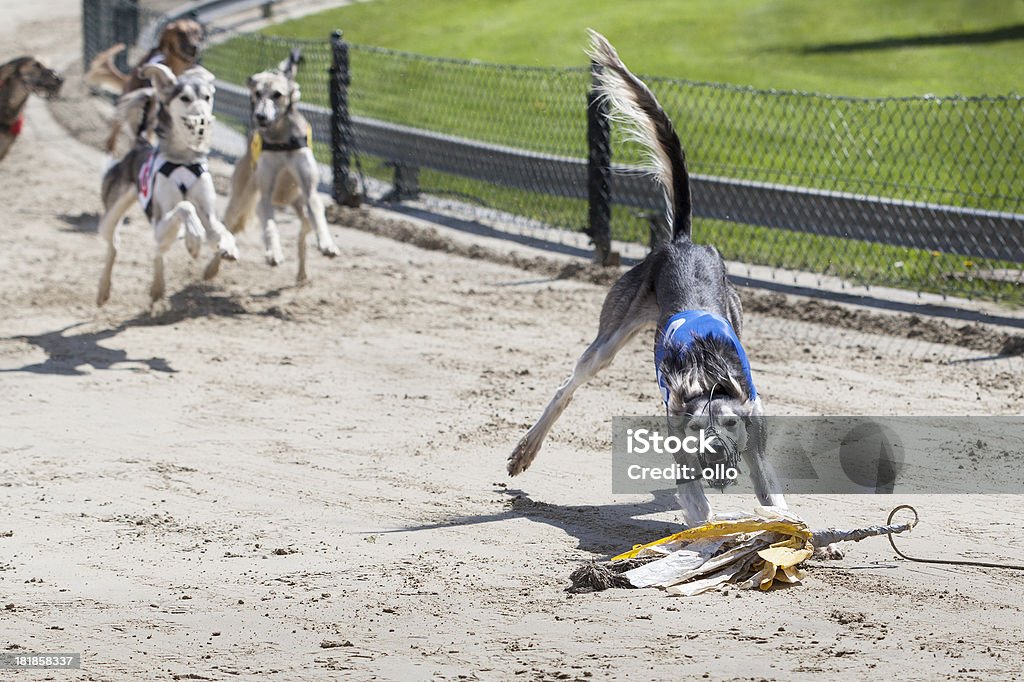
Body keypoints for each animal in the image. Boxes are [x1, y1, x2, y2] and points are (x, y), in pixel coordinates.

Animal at [95, 62, 239, 303]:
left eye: (207, 97)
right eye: (185, 98)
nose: (202, 120)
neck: (183, 160)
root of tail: (140, 144)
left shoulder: (208, 215)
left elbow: (219, 230)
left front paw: (227, 246)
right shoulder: (160, 221)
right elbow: (185, 206)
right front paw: (194, 238)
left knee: (158, 251)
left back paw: (157, 286)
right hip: (112, 214)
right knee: (114, 244)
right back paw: (104, 290)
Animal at [219, 48, 339, 280]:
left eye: (278, 94)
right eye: (257, 93)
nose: (260, 116)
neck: (281, 138)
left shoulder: (309, 191)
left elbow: (319, 217)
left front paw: (327, 244)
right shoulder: (265, 195)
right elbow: (270, 226)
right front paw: (273, 253)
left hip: (299, 205)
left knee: (304, 231)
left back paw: (302, 274)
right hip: (242, 195)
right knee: (227, 223)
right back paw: (224, 253)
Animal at [507, 31, 786, 524]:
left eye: (729, 423)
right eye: (696, 429)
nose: (715, 453)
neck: (707, 375)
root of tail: (682, 242)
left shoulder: (754, 428)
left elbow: (773, 497)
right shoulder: (679, 433)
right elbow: (697, 507)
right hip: (611, 332)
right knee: (566, 387)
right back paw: (526, 449)